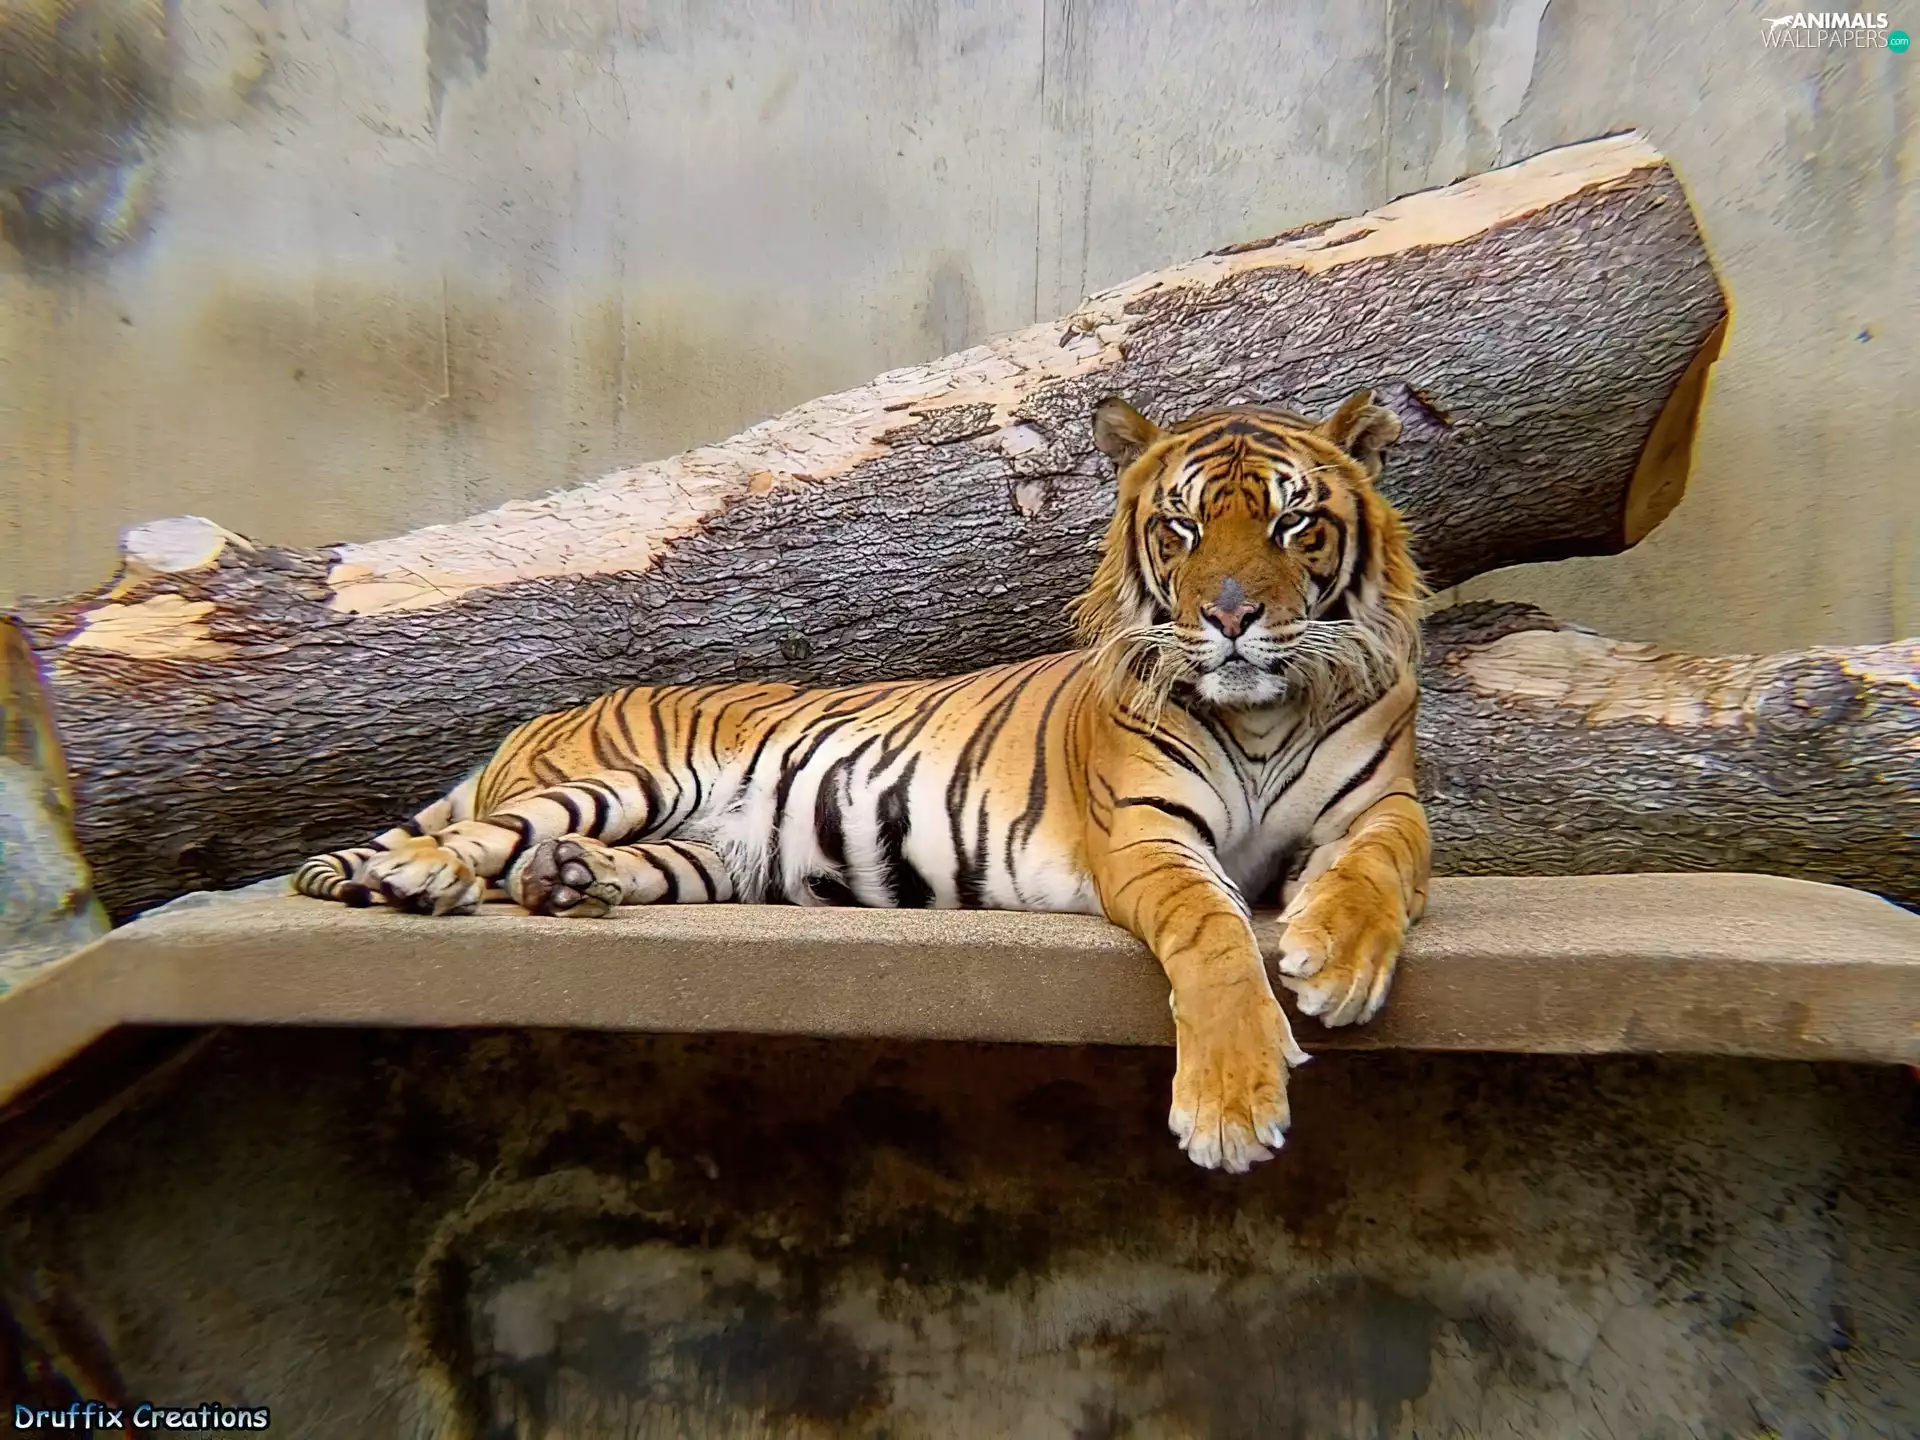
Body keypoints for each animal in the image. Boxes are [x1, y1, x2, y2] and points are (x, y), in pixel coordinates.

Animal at [293, 389, 1431, 1174]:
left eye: (1293, 524)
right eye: (1181, 528)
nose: (1231, 618)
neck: (1262, 711)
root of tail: (539, 717)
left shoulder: (1383, 805)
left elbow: (1383, 862)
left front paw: (1339, 957)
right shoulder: (1147, 835)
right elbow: (1214, 937)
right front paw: (1234, 1109)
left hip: (706, 859)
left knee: (565, 863)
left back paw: (569, 883)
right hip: (613, 781)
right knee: (469, 839)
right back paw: (421, 881)